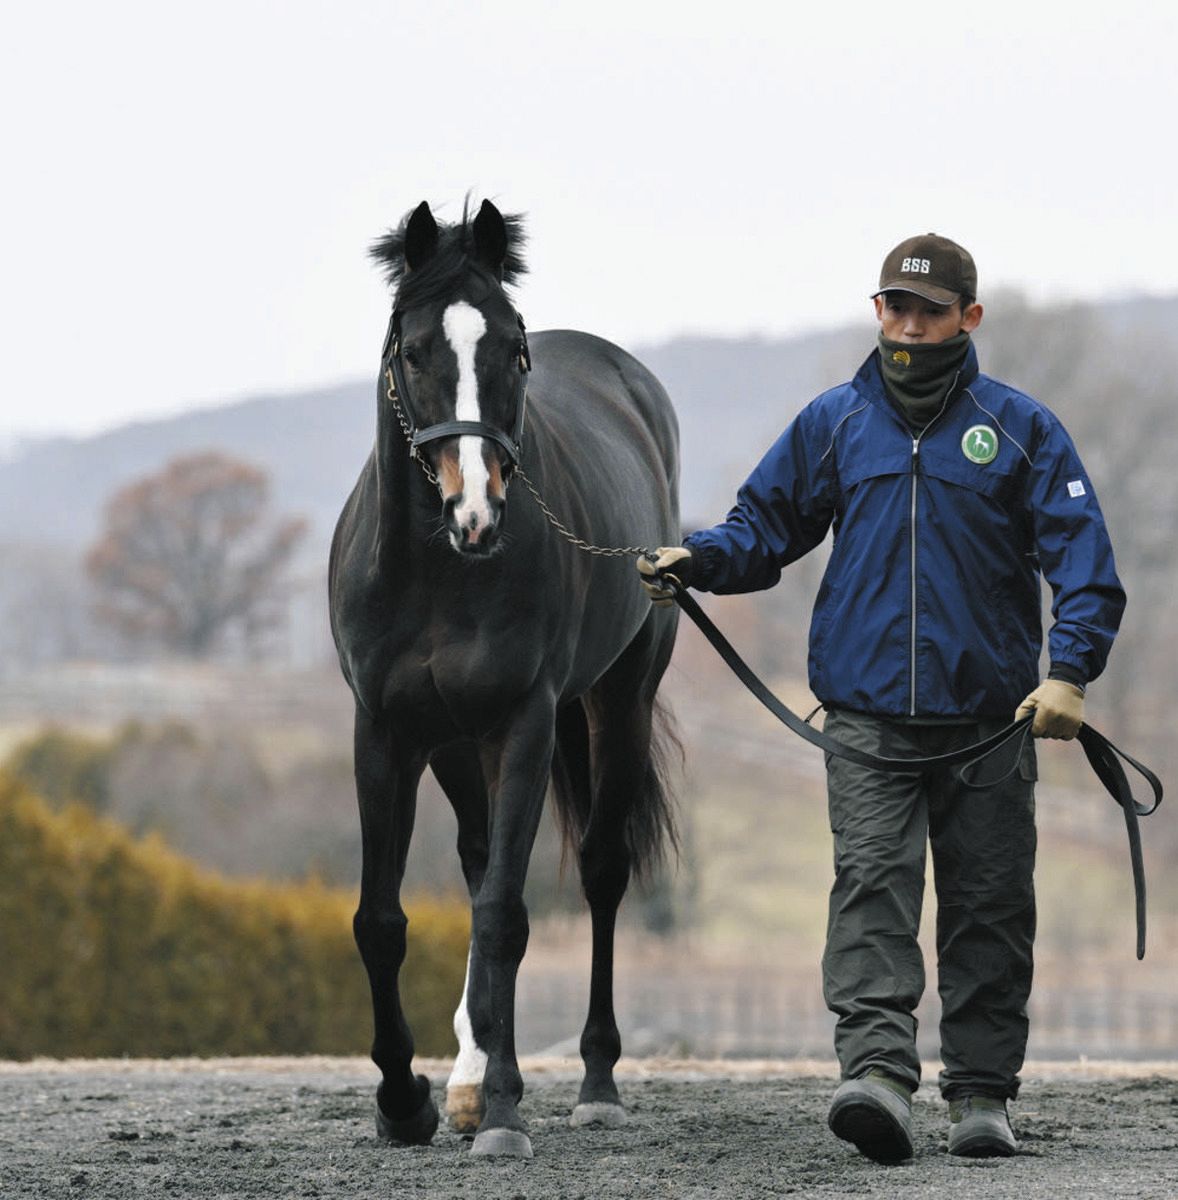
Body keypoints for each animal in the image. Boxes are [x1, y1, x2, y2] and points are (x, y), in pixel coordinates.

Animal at [328, 198, 680, 1158]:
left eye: (514, 349)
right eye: (415, 350)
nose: (476, 509)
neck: (439, 574)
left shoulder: (523, 723)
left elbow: (504, 917)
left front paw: (507, 1112)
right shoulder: (386, 733)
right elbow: (382, 921)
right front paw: (405, 1099)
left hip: (617, 705)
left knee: (597, 872)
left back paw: (593, 1082)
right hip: (457, 745)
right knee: (483, 860)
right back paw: (468, 1075)